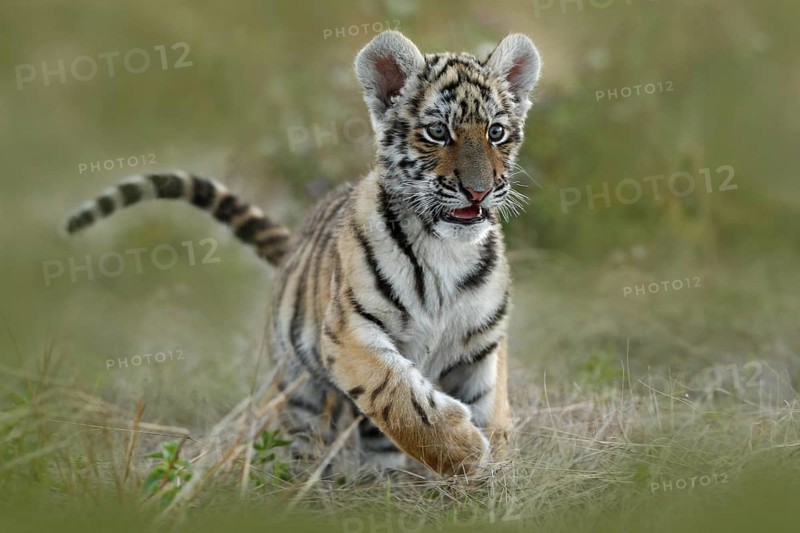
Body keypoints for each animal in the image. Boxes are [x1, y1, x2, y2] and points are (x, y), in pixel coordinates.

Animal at [64, 31, 542, 478]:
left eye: (496, 132)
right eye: (438, 132)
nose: (478, 192)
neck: (447, 248)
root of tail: (295, 242)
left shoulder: (481, 347)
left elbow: (490, 409)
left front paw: (494, 476)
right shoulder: (349, 333)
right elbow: (403, 400)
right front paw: (466, 452)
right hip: (300, 391)